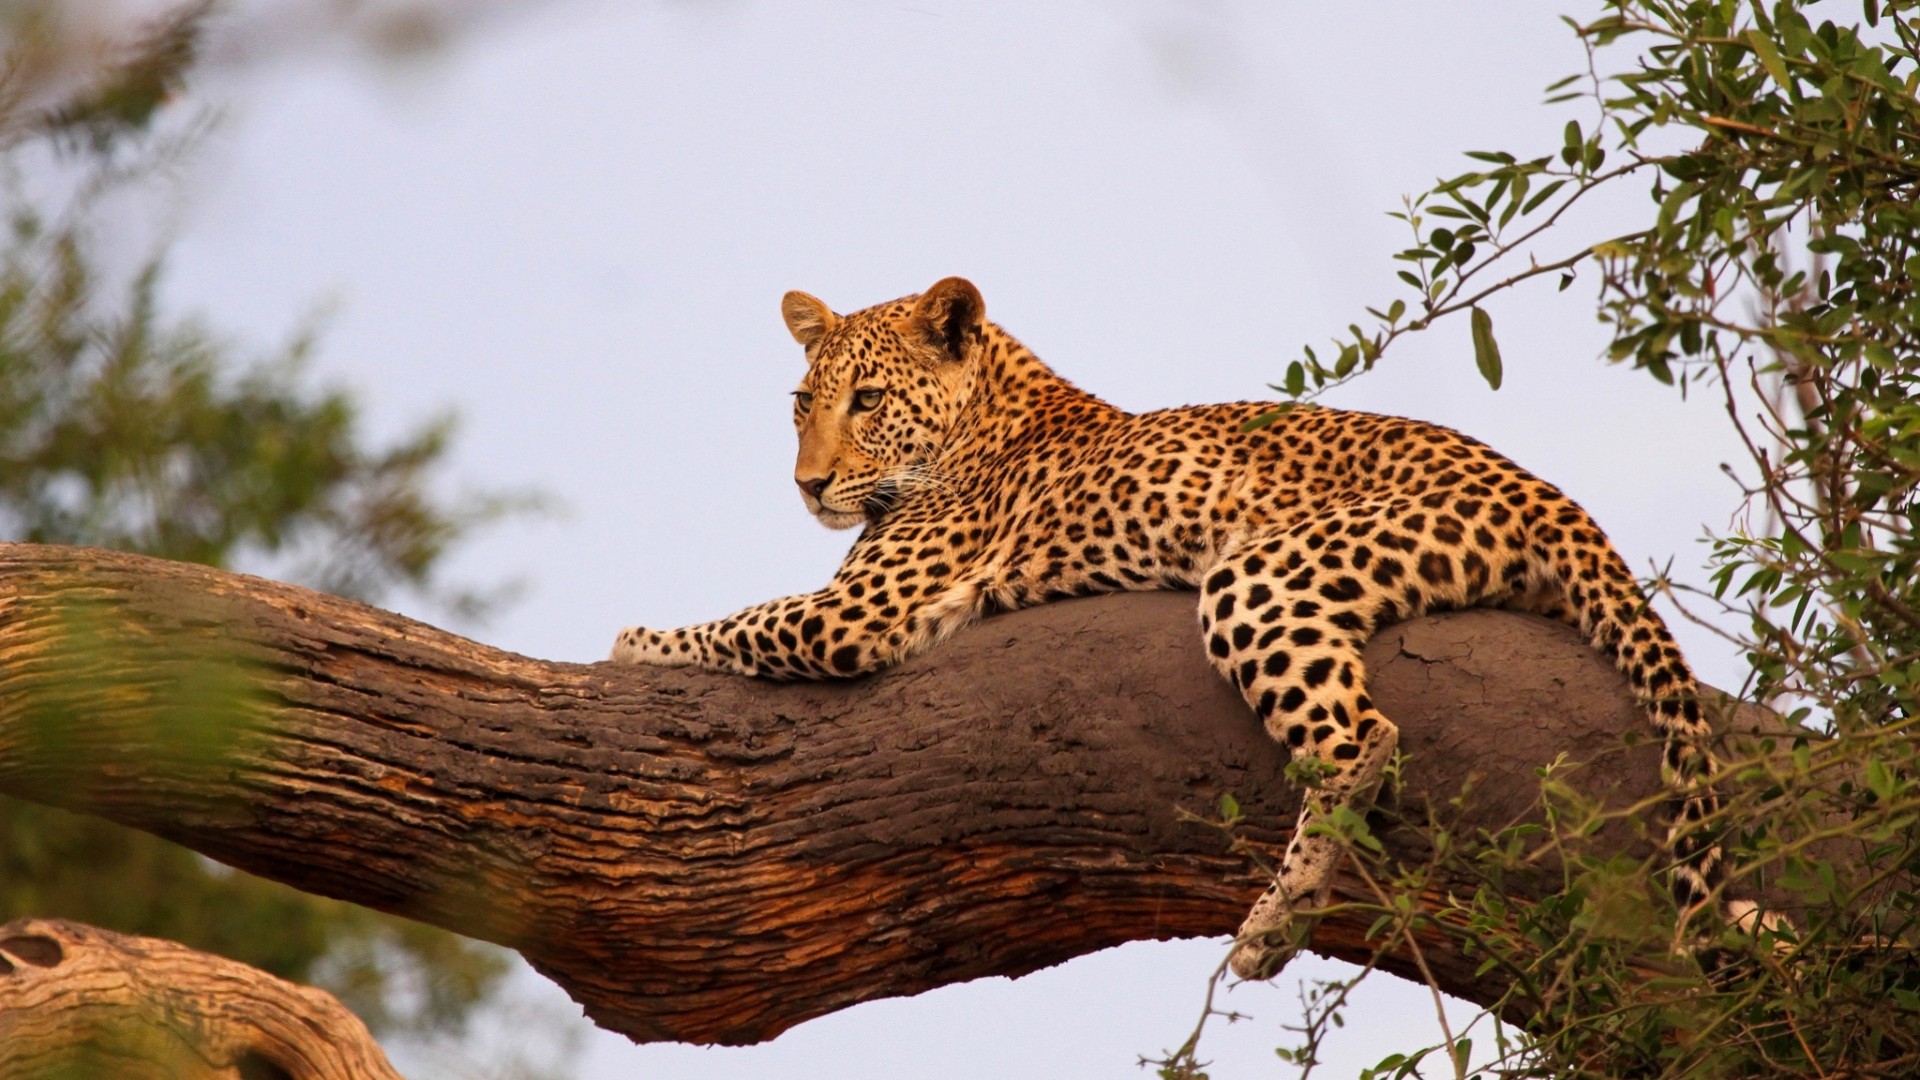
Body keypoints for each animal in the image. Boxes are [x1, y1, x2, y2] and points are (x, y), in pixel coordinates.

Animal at [609, 276, 1729, 980]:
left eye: (868, 399)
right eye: (802, 402)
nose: (808, 487)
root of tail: (1548, 492)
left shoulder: (857, 613)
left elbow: (738, 622)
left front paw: (626, 644)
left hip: (1257, 573)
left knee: (1360, 741)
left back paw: (1273, 927)